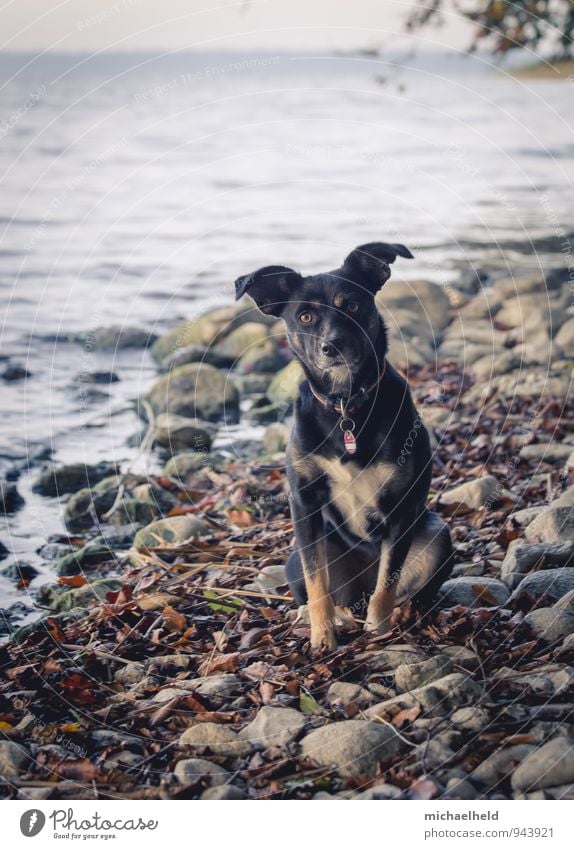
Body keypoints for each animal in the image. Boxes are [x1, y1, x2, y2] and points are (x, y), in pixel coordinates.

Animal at [234, 240, 454, 648]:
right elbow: (317, 582)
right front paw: (322, 636)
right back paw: (324, 616)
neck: (346, 405)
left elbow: (388, 581)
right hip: (297, 555)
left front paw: (378, 629)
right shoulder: (304, 503)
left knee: (403, 588)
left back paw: (402, 614)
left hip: (435, 534)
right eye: (305, 317)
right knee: (318, 588)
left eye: (351, 306)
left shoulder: (402, 505)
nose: (332, 346)